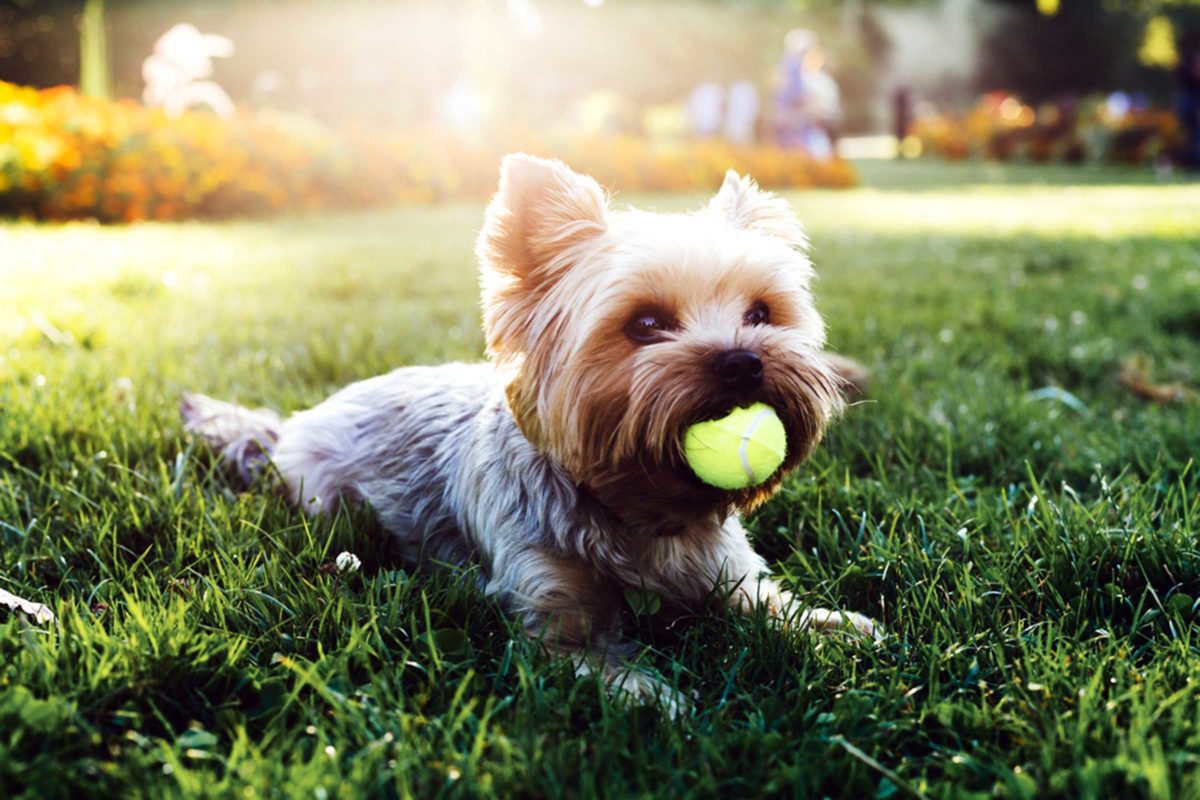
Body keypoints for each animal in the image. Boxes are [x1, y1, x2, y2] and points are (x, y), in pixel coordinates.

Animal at [182, 154, 878, 714]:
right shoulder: (549, 616)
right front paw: (658, 700)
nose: (743, 360)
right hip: (322, 494)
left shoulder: (730, 574)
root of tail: (294, 421)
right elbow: (593, 663)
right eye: (646, 324)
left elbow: (770, 605)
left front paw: (834, 626)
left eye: (761, 313)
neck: (644, 509)